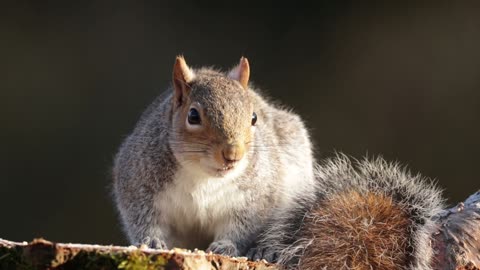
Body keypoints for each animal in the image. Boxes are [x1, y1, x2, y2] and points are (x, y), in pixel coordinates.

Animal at [111, 56, 316, 256]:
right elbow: (141, 217)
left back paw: (266, 250)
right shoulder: (137, 182)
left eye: (254, 118)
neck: (203, 176)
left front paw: (226, 246)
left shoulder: (256, 195)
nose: (233, 154)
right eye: (193, 116)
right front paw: (151, 240)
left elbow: (243, 227)